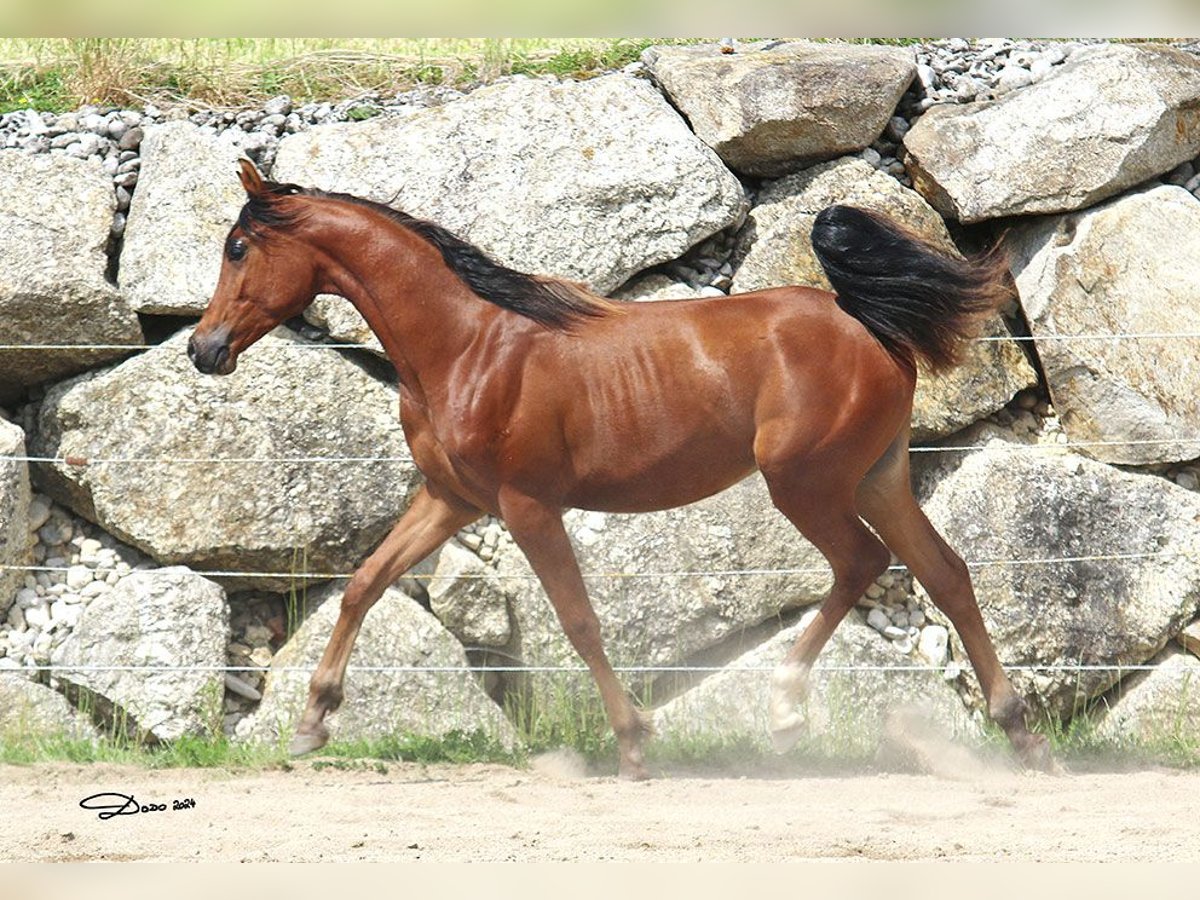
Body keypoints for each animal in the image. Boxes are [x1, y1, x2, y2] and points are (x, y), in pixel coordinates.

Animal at [189, 158, 1051, 777]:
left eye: (237, 247)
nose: (204, 349)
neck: (467, 346)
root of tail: (867, 323)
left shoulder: (527, 506)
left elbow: (578, 620)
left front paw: (635, 742)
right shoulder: (450, 499)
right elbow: (364, 583)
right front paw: (311, 723)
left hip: (805, 483)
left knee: (862, 563)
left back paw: (785, 712)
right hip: (878, 475)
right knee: (946, 574)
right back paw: (1021, 735)